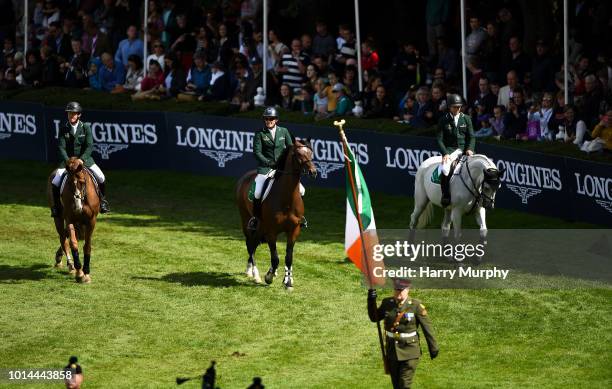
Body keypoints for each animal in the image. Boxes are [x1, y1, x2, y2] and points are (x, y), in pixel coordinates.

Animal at [237, 139, 318, 288]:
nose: (313, 172)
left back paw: (251, 271)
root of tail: (245, 177)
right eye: (298, 154)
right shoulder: (271, 231)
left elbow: (288, 257)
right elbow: (275, 258)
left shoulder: (294, 230)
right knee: (250, 245)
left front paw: (288, 281)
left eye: (311, 152)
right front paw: (269, 276)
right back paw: (255, 274)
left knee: (253, 244)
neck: (287, 198)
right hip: (246, 220)